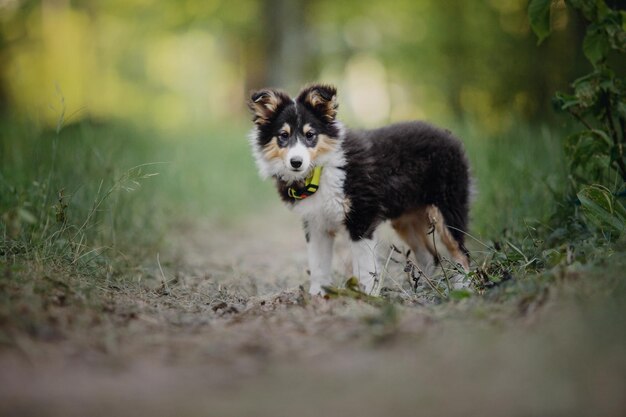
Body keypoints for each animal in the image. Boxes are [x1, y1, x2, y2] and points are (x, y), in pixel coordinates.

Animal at [246, 83, 470, 294]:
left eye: (310, 135)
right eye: (283, 135)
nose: (296, 162)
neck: (320, 171)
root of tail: (448, 136)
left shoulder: (361, 218)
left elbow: (365, 267)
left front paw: (368, 296)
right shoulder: (316, 224)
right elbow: (318, 266)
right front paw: (317, 296)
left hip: (447, 210)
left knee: (461, 253)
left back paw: (463, 288)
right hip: (406, 219)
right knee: (429, 256)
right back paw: (422, 289)